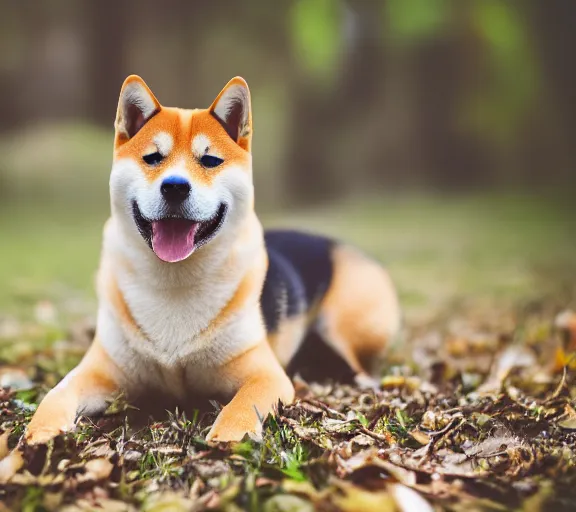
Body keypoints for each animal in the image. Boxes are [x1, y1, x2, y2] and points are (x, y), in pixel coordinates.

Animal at [11, 76, 402, 452]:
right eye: (152, 158)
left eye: (210, 161)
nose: (175, 187)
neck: (174, 279)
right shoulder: (101, 371)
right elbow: (56, 393)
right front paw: (40, 432)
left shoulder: (265, 375)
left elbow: (242, 404)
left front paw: (230, 435)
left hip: (341, 325)